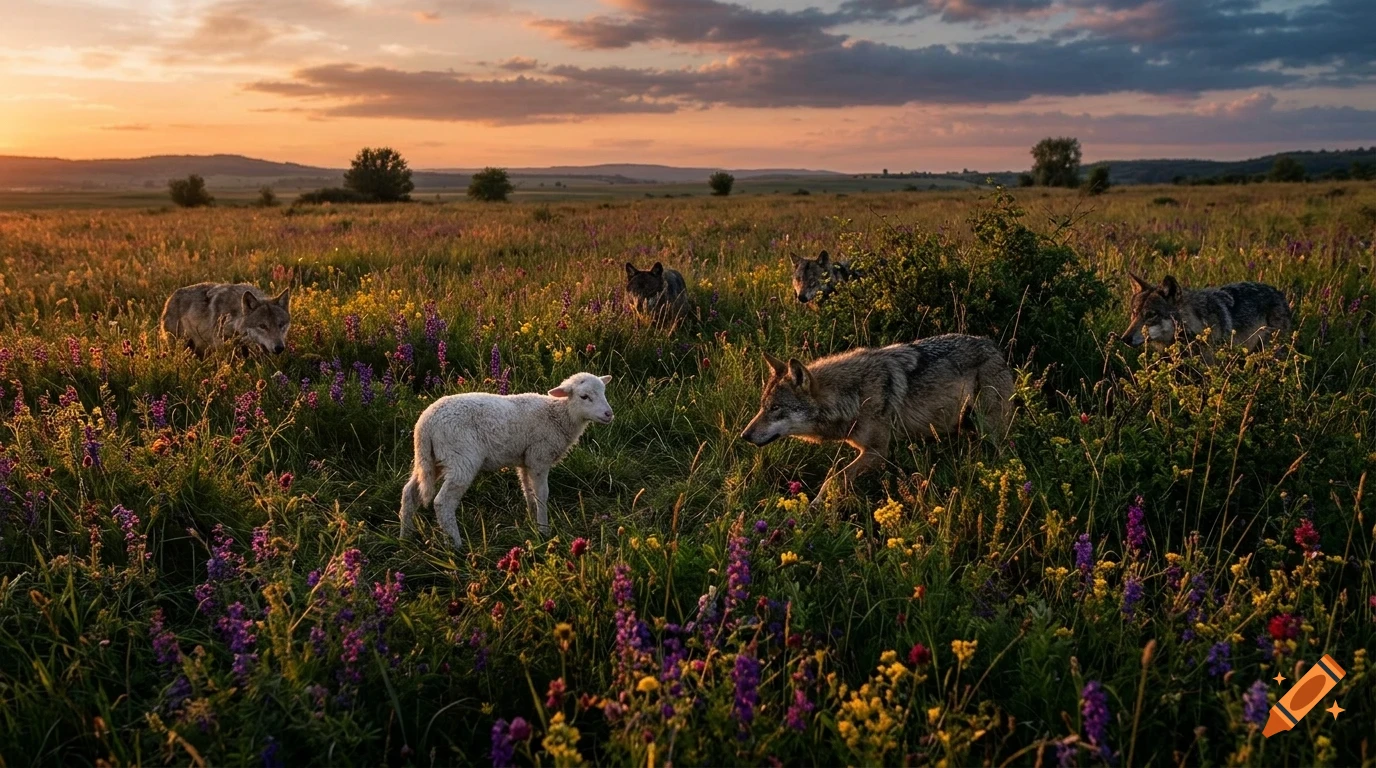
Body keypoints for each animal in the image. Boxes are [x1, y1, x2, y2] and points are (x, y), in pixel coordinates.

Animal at [399, 372, 615, 548]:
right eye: (584, 397)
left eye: (604, 392)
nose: (609, 414)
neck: (558, 415)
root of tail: (425, 424)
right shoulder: (539, 457)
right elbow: (541, 494)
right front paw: (544, 530)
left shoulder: (526, 460)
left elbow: (528, 492)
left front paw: (532, 520)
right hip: (460, 458)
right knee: (442, 503)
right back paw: (455, 545)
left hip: (430, 459)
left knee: (409, 493)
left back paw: (406, 537)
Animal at [740, 333, 1014, 505]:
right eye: (763, 407)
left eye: (775, 408)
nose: (744, 435)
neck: (853, 395)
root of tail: (994, 346)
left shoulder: (877, 452)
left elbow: (833, 479)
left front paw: (813, 507)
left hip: (989, 428)